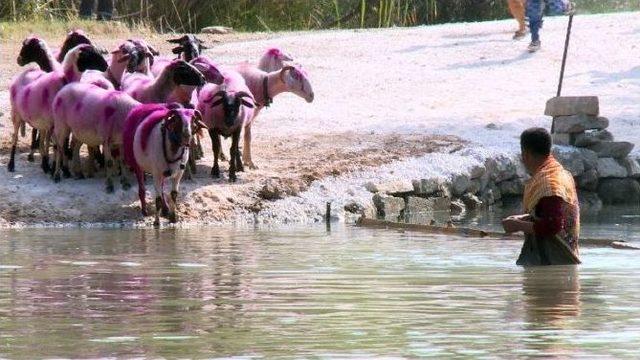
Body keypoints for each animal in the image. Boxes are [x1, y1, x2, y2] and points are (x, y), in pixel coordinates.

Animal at [8, 44, 108, 174]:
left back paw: (45, 165)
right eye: (89, 54)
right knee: (15, 137)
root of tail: (20, 76)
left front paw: (62, 168)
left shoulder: (60, 123)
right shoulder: (56, 122)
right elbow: (58, 146)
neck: (65, 79)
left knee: (41, 142)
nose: (106, 66)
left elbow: (62, 145)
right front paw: (58, 169)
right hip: (16, 114)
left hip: (41, 122)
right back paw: (11, 164)